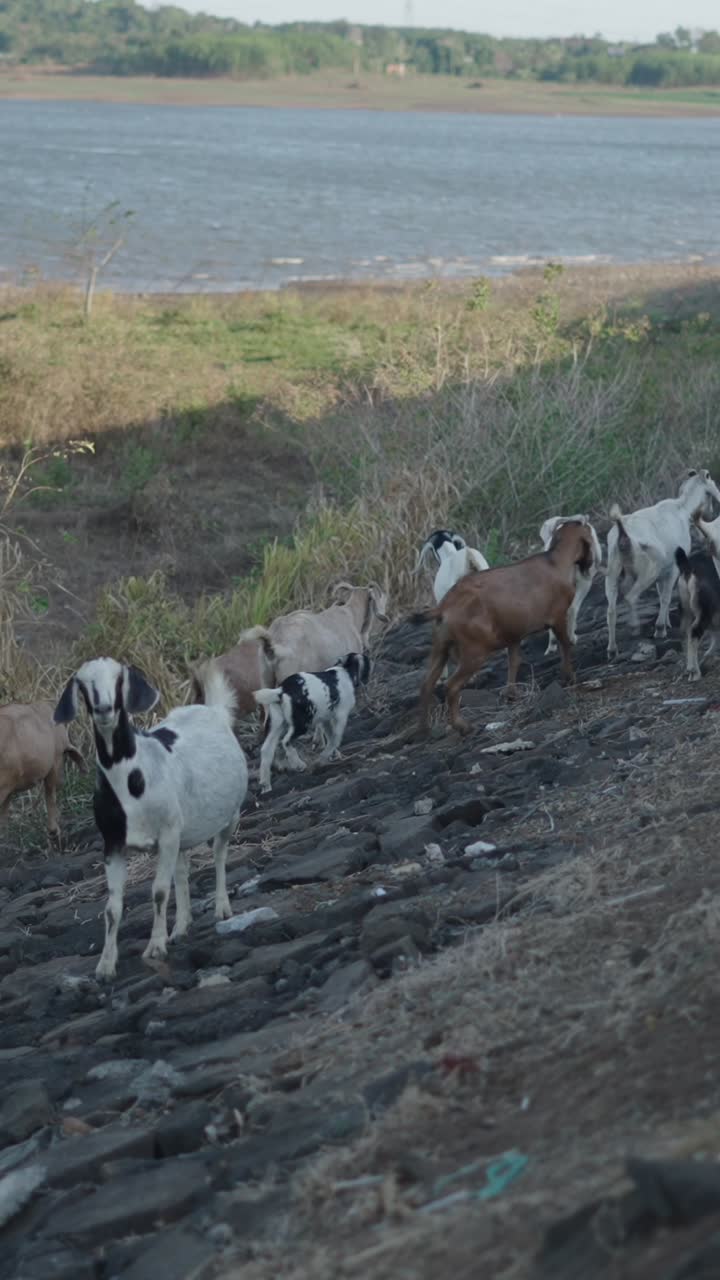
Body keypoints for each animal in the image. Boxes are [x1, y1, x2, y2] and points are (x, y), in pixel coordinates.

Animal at [54, 658, 248, 981]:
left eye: (119, 679)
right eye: (83, 685)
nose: (104, 709)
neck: (130, 774)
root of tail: (213, 710)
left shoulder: (167, 833)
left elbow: (158, 891)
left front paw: (155, 947)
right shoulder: (114, 843)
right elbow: (112, 908)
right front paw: (105, 965)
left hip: (229, 814)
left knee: (220, 854)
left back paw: (222, 908)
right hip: (181, 832)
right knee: (182, 870)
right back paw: (181, 927)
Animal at [254, 652, 370, 794]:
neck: (345, 672)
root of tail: (282, 691)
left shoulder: (326, 719)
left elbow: (331, 737)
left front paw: (333, 755)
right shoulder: (341, 716)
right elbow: (335, 739)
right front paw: (322, 759)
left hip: (277, 725)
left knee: (266, 750)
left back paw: (266, 785)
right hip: (301, 724)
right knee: (286, 741)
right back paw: (298, 764)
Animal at [413, 521, 594, 736]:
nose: (589, 565)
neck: (554, 561)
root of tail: (444, 606)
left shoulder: (514, 635)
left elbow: (514, 662)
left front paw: (511, 694)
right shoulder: (558, 618)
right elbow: (565, 645)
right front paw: (570, 677)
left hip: (441, 648)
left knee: (427, 684)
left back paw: (424, 729)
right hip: (475, 652)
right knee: (451, 686)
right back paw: (462, 726)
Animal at [605, 469, 720, 659]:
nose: (711, 514)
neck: (682, 509)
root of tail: (623, 534)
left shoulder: (663, 573)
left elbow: (660, 595)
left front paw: (665, 623)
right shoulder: (673, 568)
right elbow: (666, 597)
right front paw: (660, 629)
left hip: (613, 571)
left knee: (611, 610)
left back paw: (612, 649)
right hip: (649, 570)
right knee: (630, 597)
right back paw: (635, 628)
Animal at [675, 546, 720, 681]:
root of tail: (688, 566)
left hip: (686, 609)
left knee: (685, 633)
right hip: (704, 609)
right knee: (695, 632)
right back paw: (694, 671)